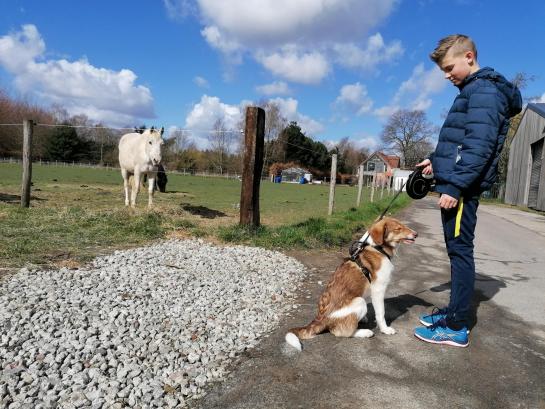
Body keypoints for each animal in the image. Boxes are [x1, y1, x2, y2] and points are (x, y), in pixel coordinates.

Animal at [284, 217, 416, 350]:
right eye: (398, 228)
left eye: (403, 226)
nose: (416, 234)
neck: (377, 248)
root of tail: (319, 320)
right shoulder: (378, 290)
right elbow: (381, 314)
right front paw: (385, 329)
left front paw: (363, 318)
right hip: (359, 302)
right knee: (341, 332)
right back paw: (365, 332)